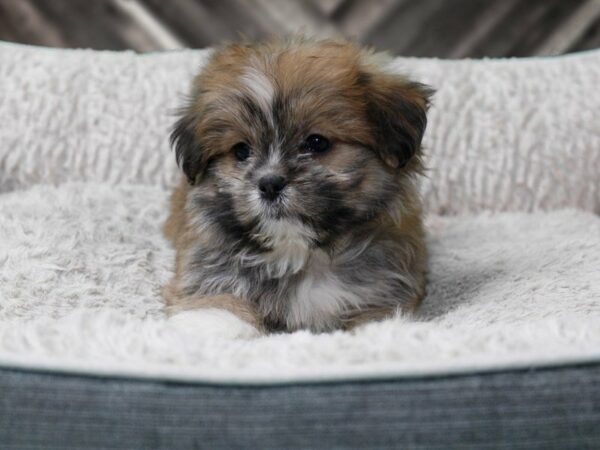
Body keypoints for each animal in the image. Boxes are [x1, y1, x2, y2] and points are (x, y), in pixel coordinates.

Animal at [164, 37, 432, 334]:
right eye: (241, 151)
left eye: (317, 143)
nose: (269, 184)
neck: (297, 251)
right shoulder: (210, 267)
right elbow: (215, 300)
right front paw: (212, 326)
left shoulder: (385, 281)